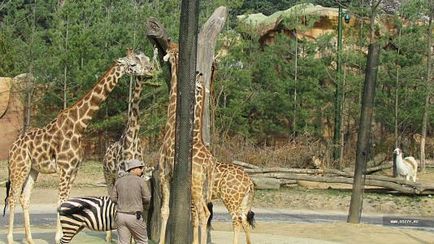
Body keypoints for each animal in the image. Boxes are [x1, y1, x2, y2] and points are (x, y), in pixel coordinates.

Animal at [3, 49, 155, 244]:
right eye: (133, 63)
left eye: (144, 59)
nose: (150, 69)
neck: (79, 125)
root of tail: (12, 148)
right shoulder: (64, 169)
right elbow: (60, 202)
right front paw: (58, 236)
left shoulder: (73, 170)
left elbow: (65, 201)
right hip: (19, 168)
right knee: (12, 197)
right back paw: (10, 238)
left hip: (32, 169)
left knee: (24, 197)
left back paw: (29, 239)